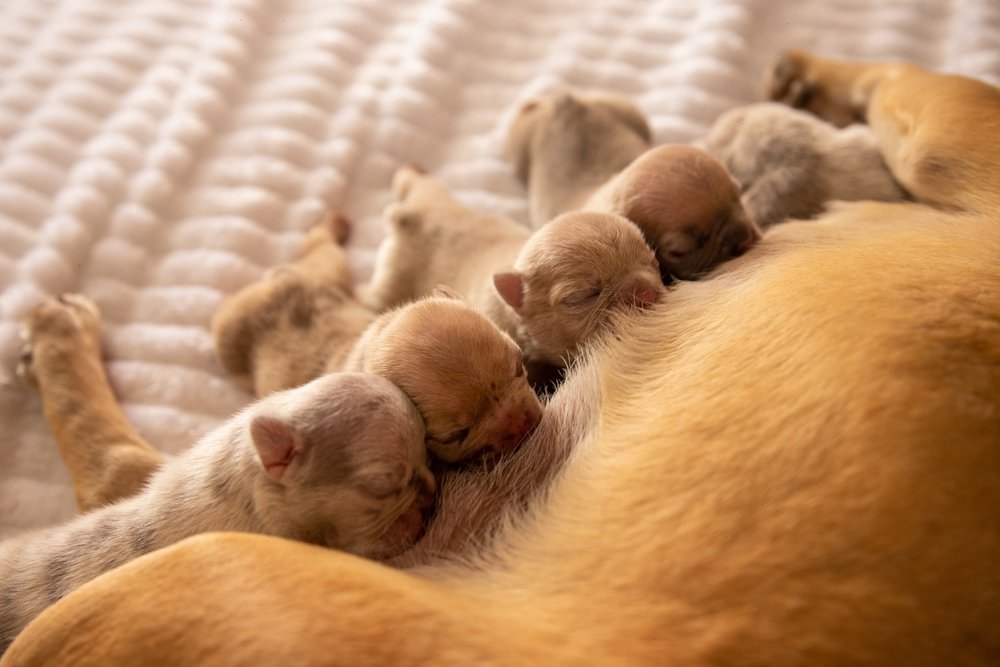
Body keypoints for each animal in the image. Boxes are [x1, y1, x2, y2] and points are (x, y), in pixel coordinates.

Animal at [504, 88, 760, 280]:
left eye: (740, 198)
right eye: (679, 252)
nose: (744, 239)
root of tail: (567, 104)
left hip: (625, 110)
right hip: (518, 145)